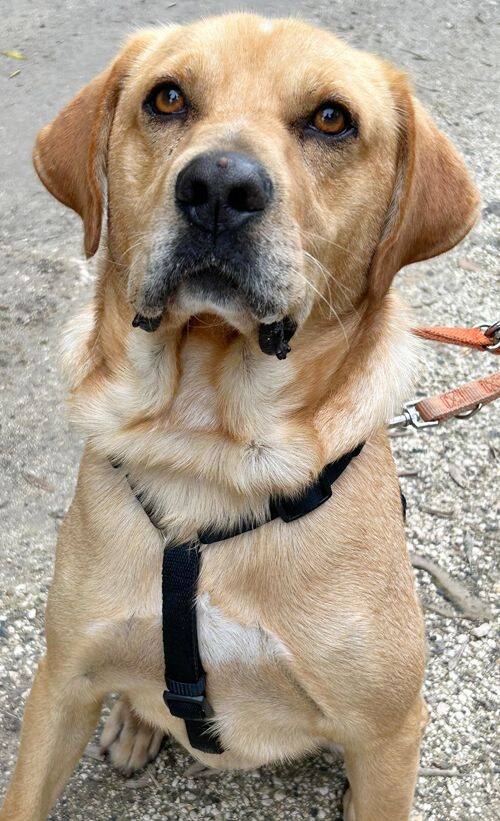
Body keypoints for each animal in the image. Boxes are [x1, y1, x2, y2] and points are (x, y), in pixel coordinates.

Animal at [1, 13, 479, 821]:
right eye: (167, 98)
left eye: (331, 119)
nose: (219, 187)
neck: (206, 447)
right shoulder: (61, 683)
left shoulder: (387, 733)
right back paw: (134, 722)